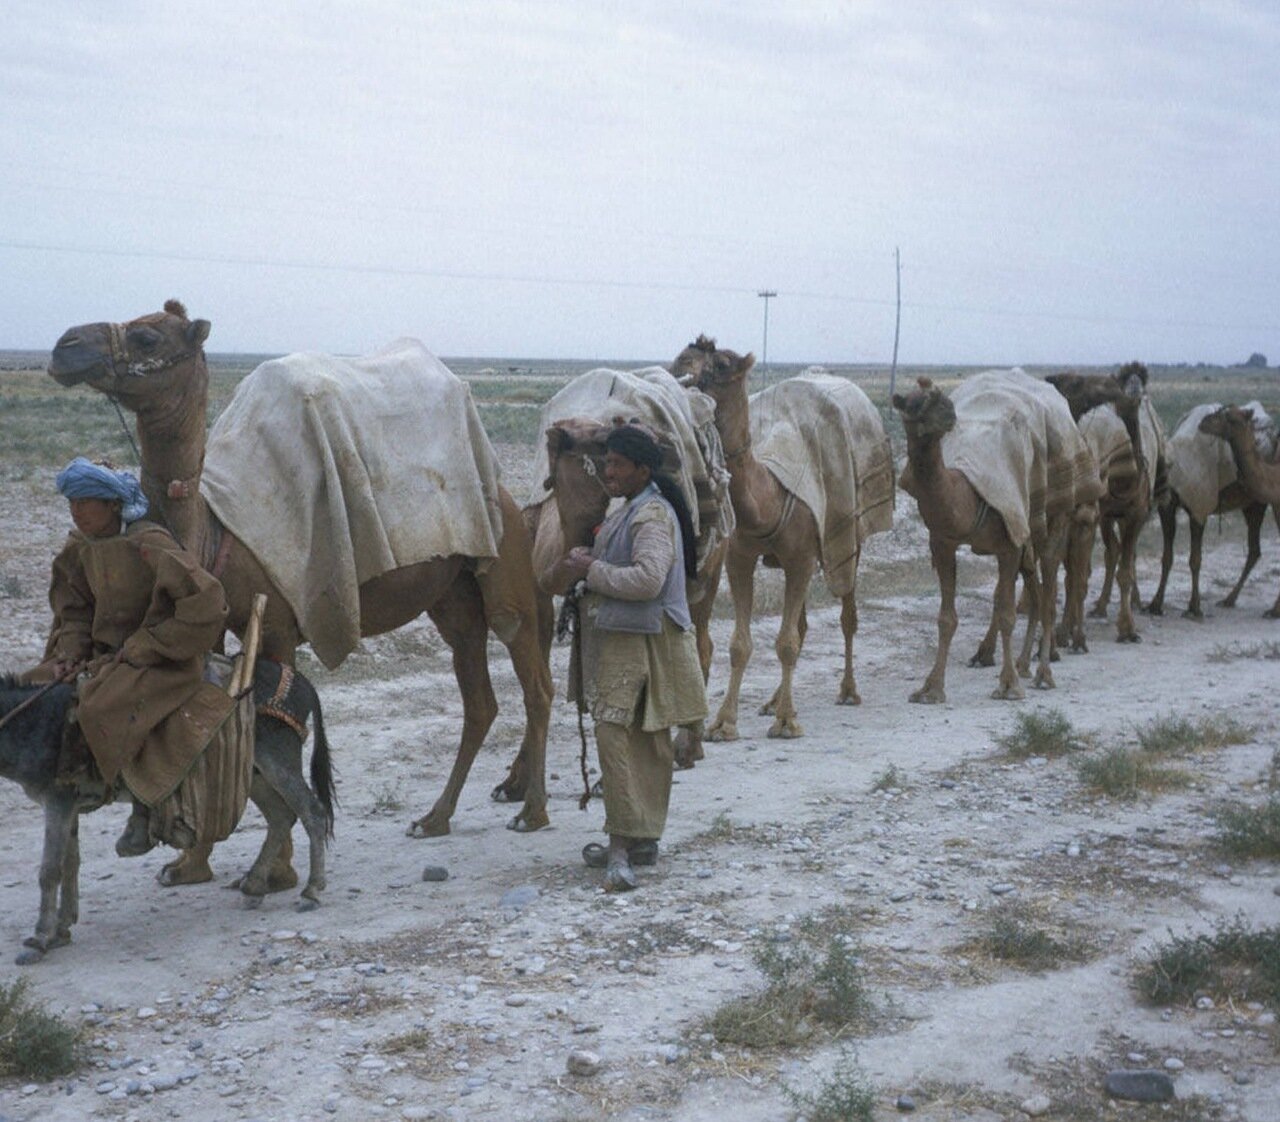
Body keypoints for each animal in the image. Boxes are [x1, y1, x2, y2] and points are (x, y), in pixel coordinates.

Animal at [0, 660, 335, 967]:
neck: (33, 723)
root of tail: (301, 679)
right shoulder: (68, 805)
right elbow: (70, 864)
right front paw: (60, 930)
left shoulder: (58, 801)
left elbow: (49, 871)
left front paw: (38, 940)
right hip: (252, 772)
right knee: (281, 816)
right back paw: (254, 887)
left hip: (276, 761)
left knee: (313, 813)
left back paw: (311, 892)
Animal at [48, 299, 555, 895]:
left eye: (148, 337)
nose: (65, 345)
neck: (212, 529)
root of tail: (509, 494)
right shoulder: (210, 621)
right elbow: (201, 723)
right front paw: (189, 865)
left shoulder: (279, 623)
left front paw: (278, 871)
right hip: (452, 597)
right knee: (479, 698)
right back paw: (435, 818)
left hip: (503, 560)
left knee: (534, 678)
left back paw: (531, 812)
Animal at [670, 335, 890, 736]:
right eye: (685, 353)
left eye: (721, 363)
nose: (682, 360)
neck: (767, 496)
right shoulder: (740, 557)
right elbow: (741, 644)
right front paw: (724, 722)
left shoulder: (801, 558)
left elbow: (787, 641)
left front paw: (786, 721)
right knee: (800, 625)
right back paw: (772, 701)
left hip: (850, 538)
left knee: (847, 616)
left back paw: (847, 690)